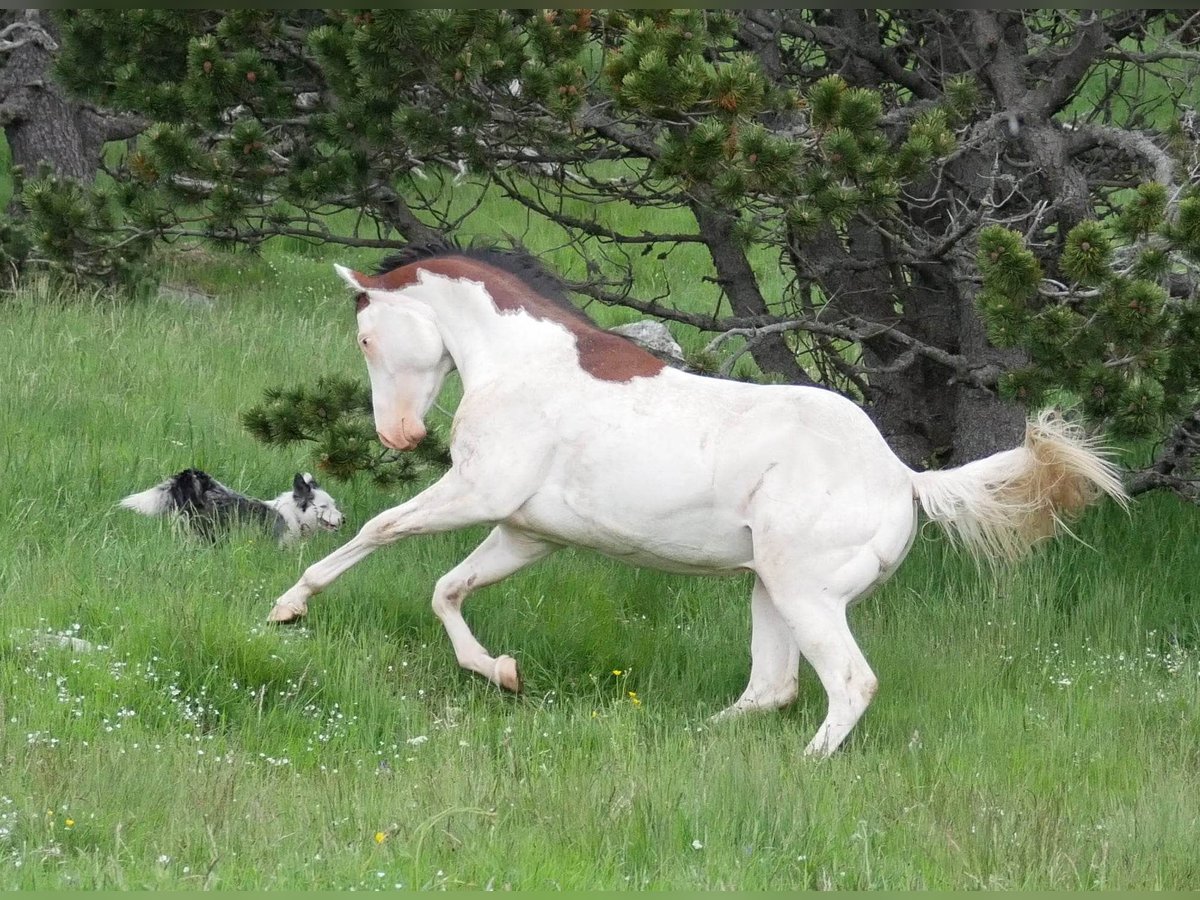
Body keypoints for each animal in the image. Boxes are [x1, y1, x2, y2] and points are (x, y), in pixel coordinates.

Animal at [267, 244, 1128, 753]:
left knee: (848, 684)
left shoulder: (479, 492)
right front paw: (502, 673)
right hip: (769, 590)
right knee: (771, 687)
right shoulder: (527, 532)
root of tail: (902, 479)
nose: (400, 436)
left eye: (367, 338)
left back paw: (808, 765)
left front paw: (288, 606)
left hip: (806, 596)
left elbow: (379, 530)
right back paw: (688, 738)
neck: (525, 364)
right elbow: (448, 589)